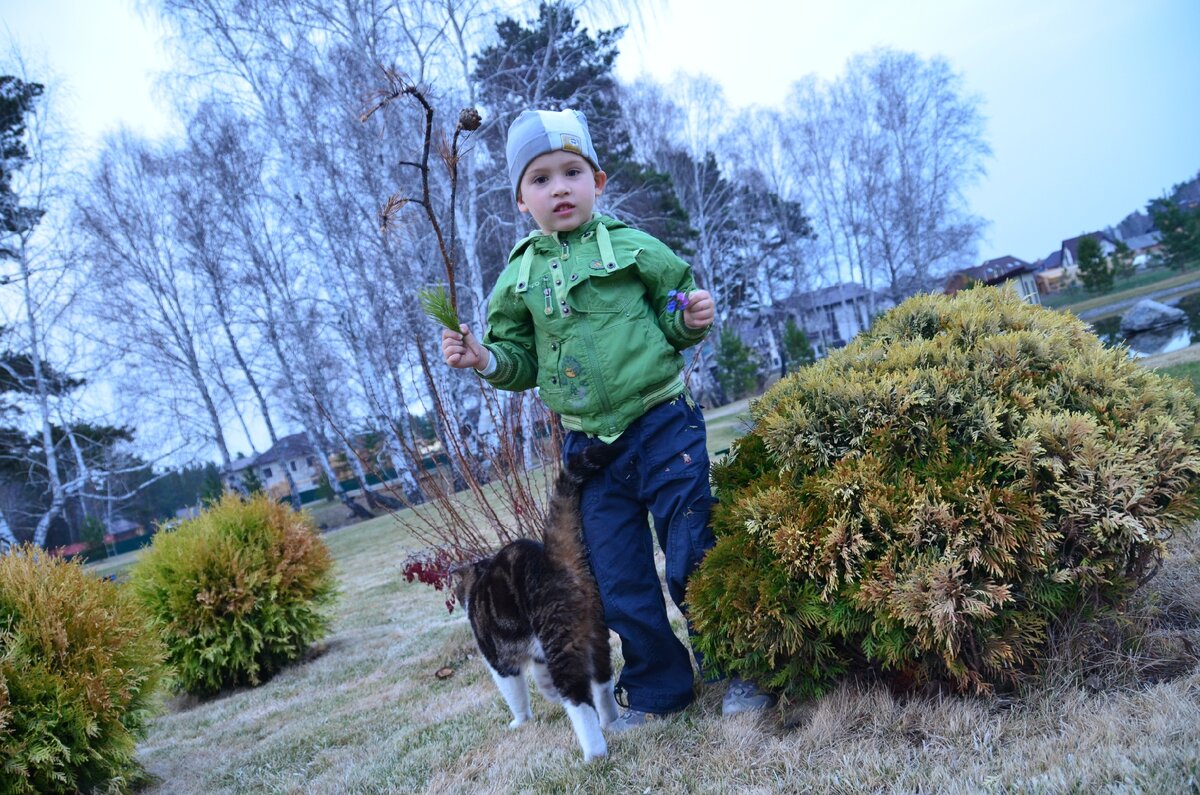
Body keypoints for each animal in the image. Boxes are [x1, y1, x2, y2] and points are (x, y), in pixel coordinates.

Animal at [453, 444, 624, 763]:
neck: (479, 579)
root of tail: (556, 561)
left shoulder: (498, 660)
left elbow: (515, 694)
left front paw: (520, 721)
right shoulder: (538, 653)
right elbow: (542, 679)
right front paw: (549, 692)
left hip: (561, 642)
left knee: (579, 701)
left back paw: (594, 752)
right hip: (595, 635)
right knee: (603, 682)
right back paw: (611, 722)